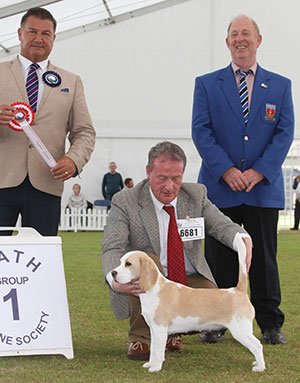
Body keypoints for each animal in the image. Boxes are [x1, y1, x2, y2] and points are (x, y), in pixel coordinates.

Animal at [112, 236, 264, 374]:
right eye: (120, 262)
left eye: (128, 264)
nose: (113, 273)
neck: (153, 289)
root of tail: (238, 290)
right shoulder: (154, 330)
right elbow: (153, 350)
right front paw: (150, 364)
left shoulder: (160, 329)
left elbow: (158, 351)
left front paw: (155, 368)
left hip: (241, 331)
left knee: (257, 345)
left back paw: (260, 367)